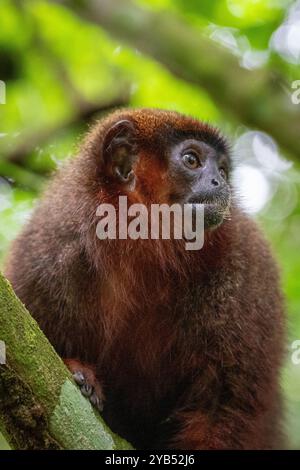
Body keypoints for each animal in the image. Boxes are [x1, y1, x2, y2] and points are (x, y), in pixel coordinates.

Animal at [5, 108, 286, 450]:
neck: (143, 250)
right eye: (192, 160)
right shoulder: (50, 250)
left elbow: (226, 406)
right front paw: (80, 372)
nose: (221, 183)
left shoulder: (246, 269)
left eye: (221, 169)